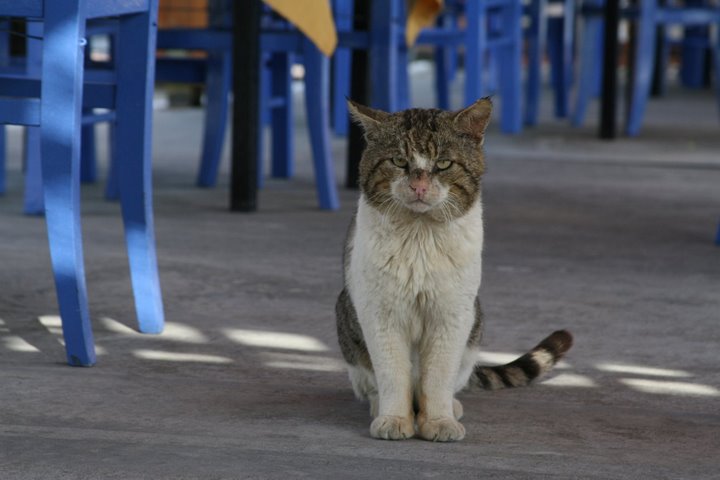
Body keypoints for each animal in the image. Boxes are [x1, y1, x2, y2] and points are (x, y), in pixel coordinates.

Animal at [336, 98, 573, 442]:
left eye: (444, 164)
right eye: (399, 161)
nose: (419, 186)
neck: (419, 236)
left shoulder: (453, 315)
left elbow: (438, 376)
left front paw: (439, 420)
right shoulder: (380, 314)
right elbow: (393, 372)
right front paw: (394, 418)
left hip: (475, 322)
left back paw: (452, 405)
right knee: (372, 381)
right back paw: (380, 403)